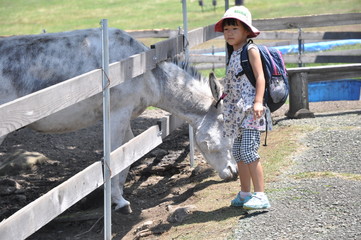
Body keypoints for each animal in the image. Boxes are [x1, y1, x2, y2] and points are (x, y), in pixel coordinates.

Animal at [0, 28, 236, 212]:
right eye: (228, 133)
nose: (233, 172)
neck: (142, 69)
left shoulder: (126, 118)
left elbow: (127, 155)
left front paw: (119, 198)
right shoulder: (117, 115)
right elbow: (114, 156)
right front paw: (119, 202)